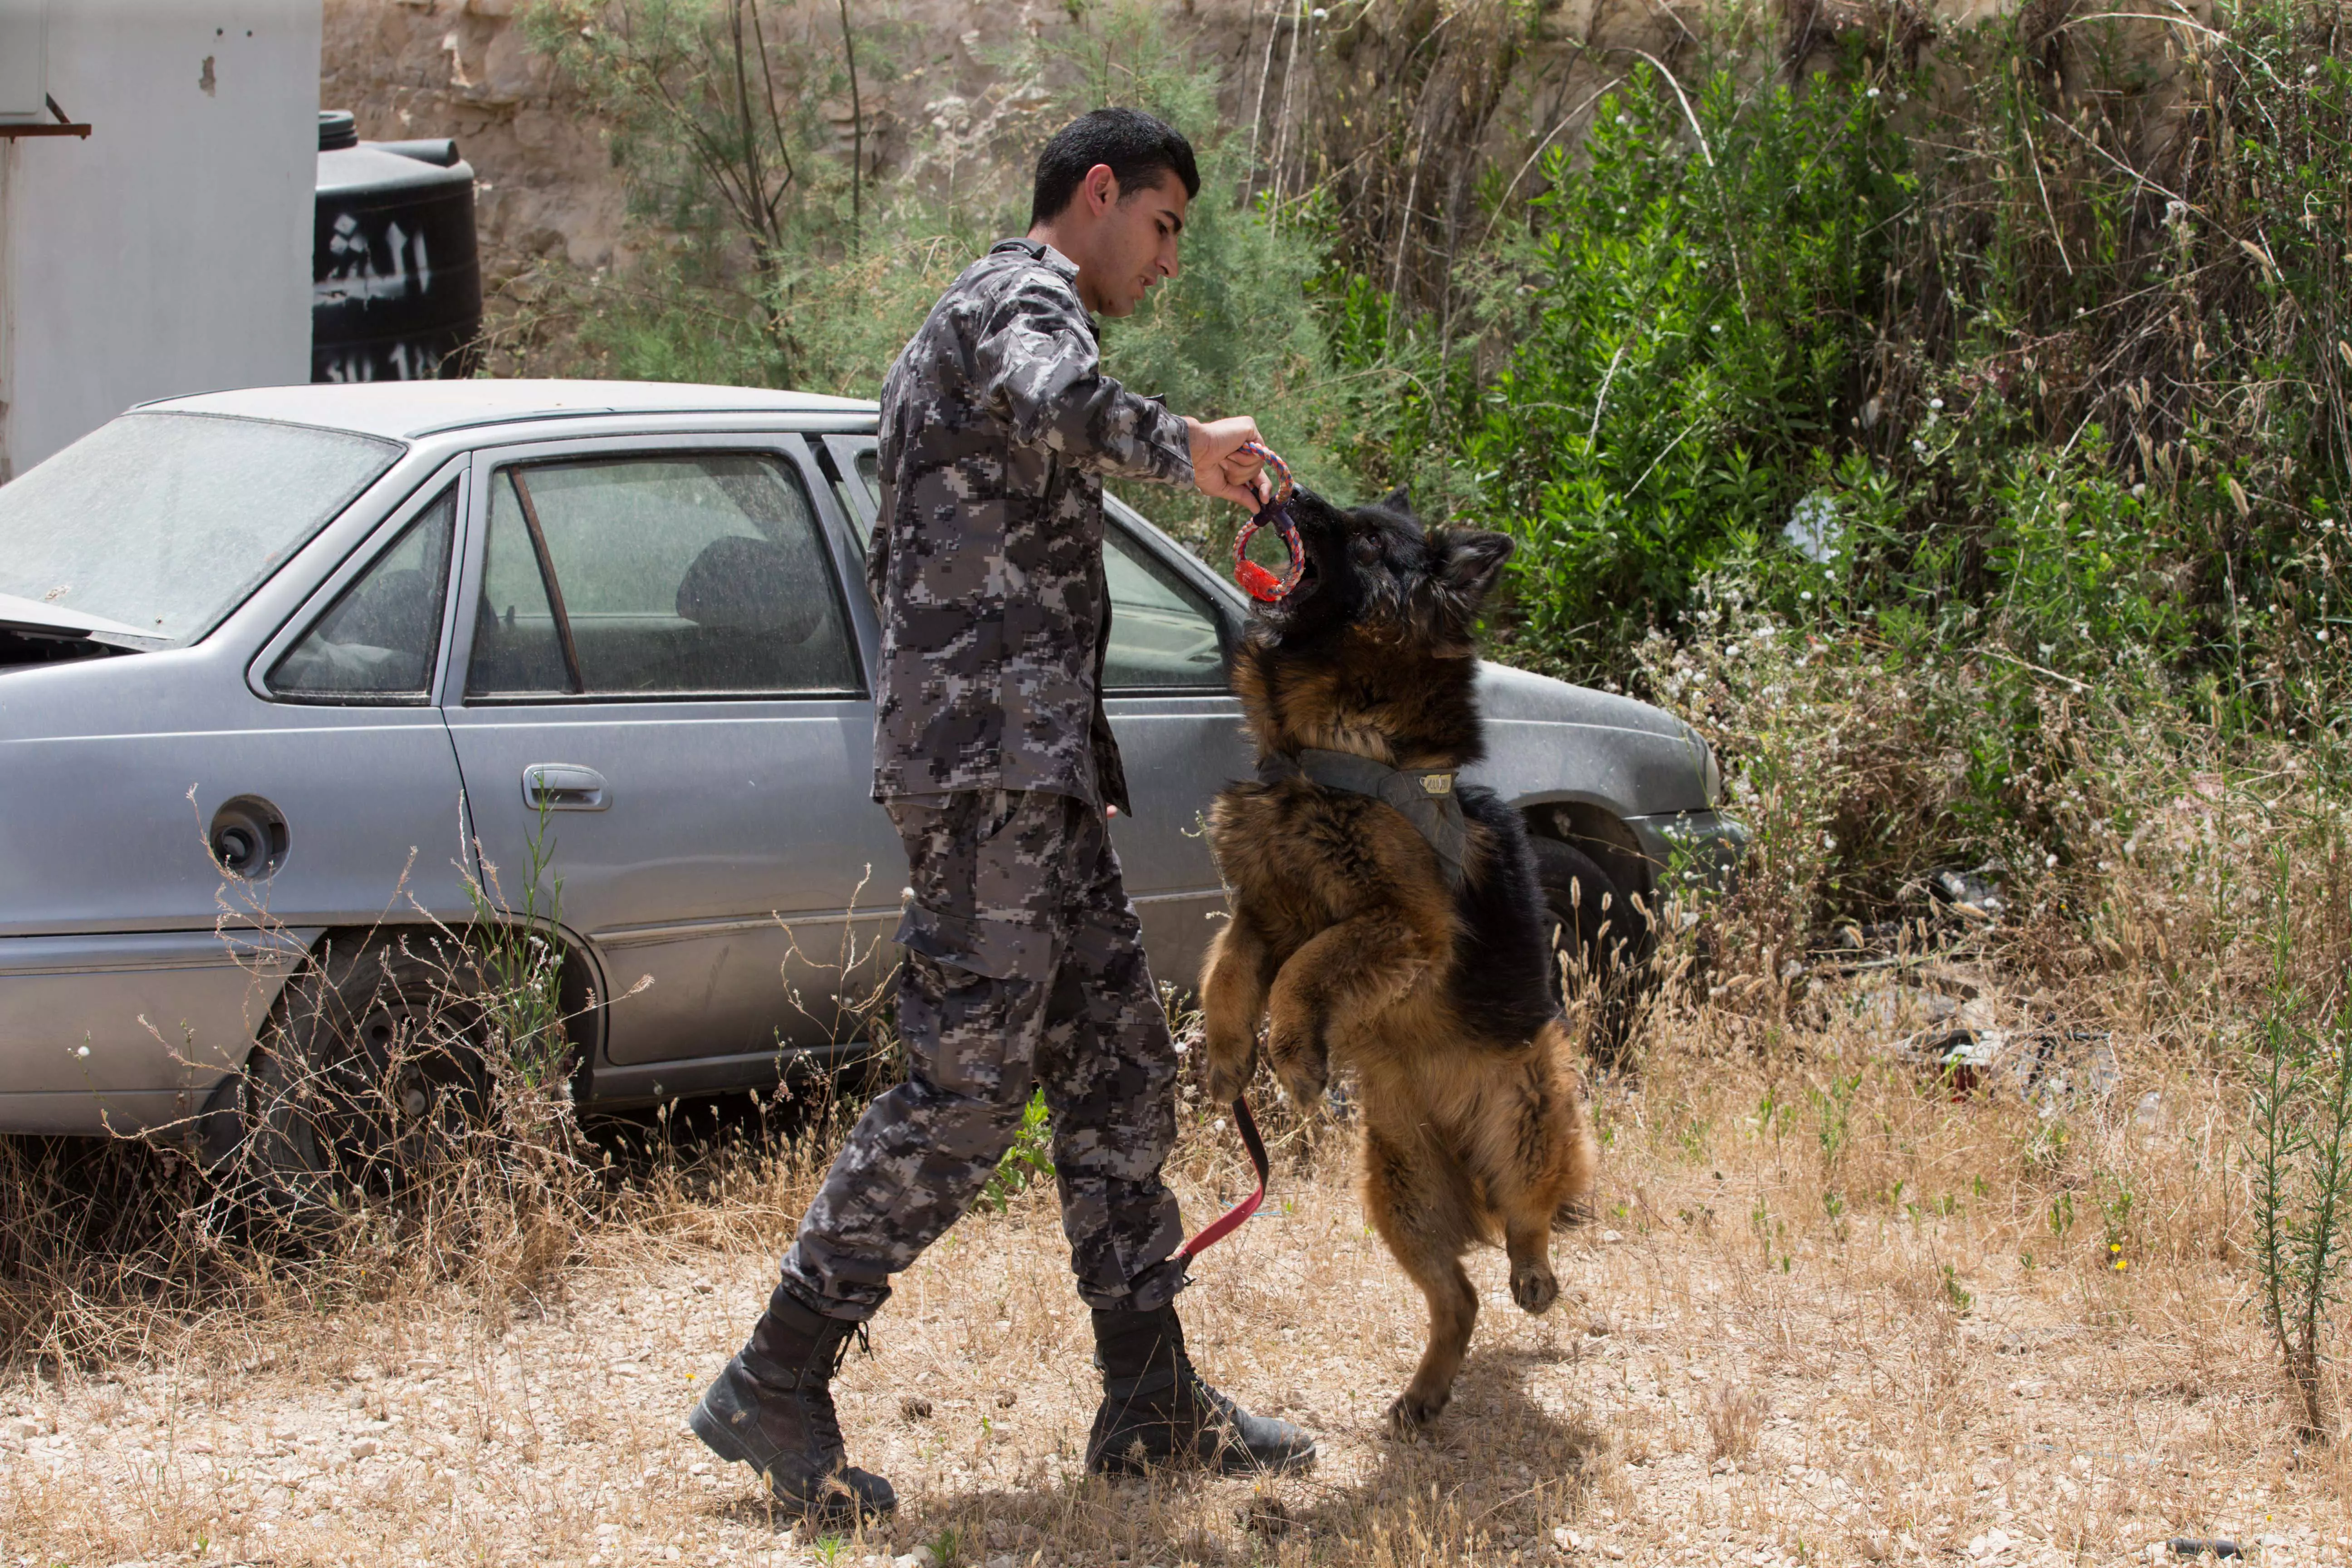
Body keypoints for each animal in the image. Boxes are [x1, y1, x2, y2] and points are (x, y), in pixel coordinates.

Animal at [1204, 486, 1608, 1439]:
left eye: (1362, 538)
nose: (1286, 493)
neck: (1322, 752)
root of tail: (1463, 1153)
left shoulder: (1404, 925)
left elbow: (1304, 971)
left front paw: (1293, 1057)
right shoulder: (1261, 910)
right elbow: (1230, 972)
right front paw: (1225, 1059)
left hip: (1527, 1123)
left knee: (1530, 1218)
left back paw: (1533, 1273)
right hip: (1400, 1191)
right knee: (1457, 1297)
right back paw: (1424, 1392)